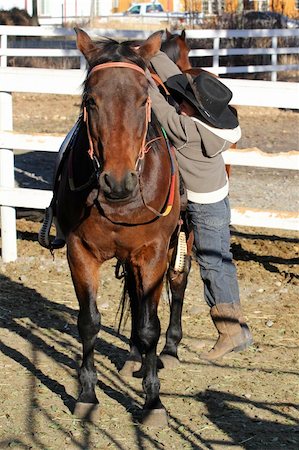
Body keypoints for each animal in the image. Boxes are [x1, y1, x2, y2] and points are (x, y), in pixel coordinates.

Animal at [54, 27, 191, 426]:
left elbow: (149, 325)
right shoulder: (80, 252)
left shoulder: (153, 253)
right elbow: (89, 321)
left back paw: (169, 349)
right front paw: (87, 394)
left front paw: (153, 401)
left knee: (177, 285)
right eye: (91, 100)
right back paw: (133, 356)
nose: (118, 182)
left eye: (143, 99)